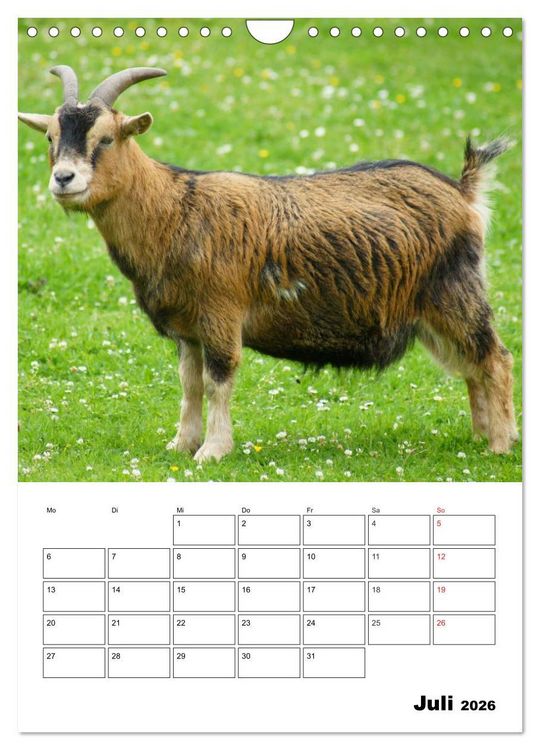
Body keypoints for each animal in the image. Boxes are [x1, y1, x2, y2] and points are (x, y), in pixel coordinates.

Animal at [18, 65, 518, 462]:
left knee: (495, 358)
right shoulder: (187, 328)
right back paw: (480, 436)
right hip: (432, 314)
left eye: (105, 138)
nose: (63, 178)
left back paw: (500, 444)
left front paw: (212, 451)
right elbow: (189, 383)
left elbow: (219, 379)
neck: (176, 209)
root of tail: (463, 192)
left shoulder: (220, 313)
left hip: (454, 292)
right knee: (471, 367)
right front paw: (181, 444)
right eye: (51, 138)